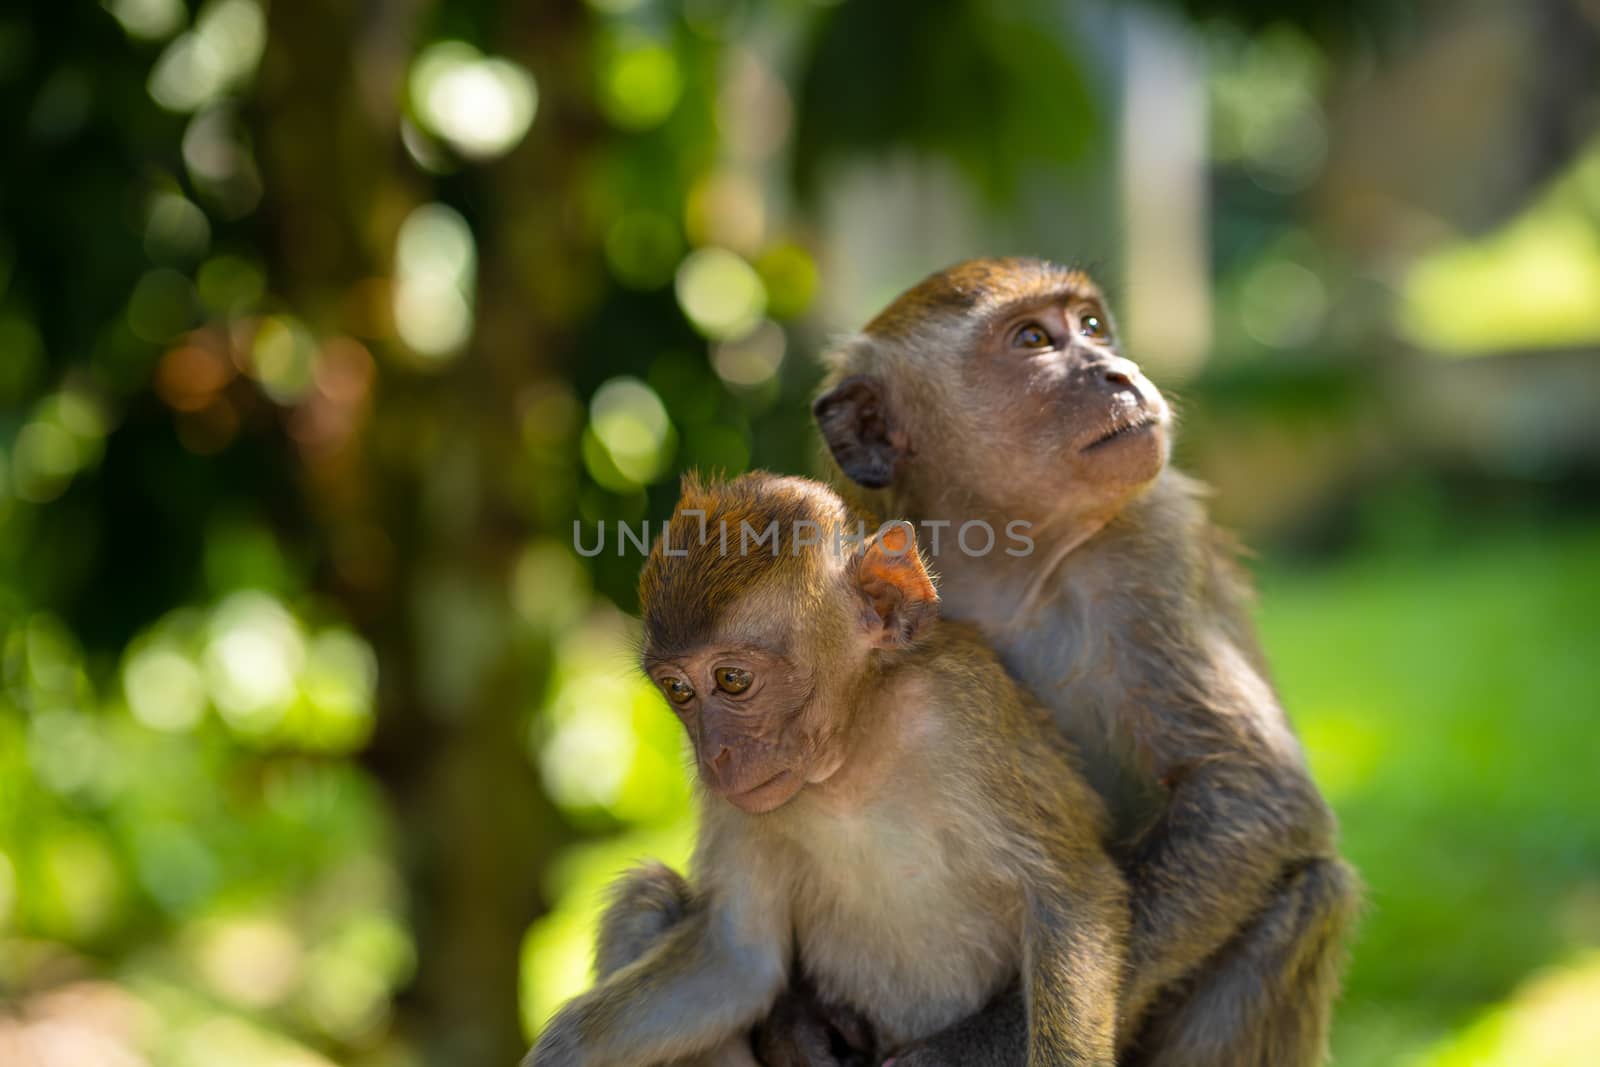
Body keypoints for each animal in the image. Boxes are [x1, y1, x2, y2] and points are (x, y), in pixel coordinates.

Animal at [524, 476, 1126, 1067]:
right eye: (678, 691)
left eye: (733, 680)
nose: (714, 755)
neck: (848, 760)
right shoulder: (734, 804)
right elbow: (737, 961)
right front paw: (561, 1051)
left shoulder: (962, 711)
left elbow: (1068, 897)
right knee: (646, 898)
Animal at [812, 260, 1363, 1067]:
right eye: (1034, 340)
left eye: (1093, 328)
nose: (1118, 372)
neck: (1007, 560)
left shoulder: (1150, 545)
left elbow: (1249, 791)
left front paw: (961, 1047)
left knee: (1313, 891)